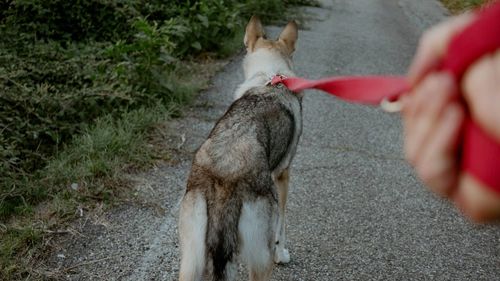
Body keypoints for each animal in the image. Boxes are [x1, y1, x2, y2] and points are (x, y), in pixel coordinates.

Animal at [181, 15, 300, 280]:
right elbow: (284, 225)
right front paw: (283, 255)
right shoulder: (283, 176)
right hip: (260, 260)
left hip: (190, 261)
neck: (270, 76)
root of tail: (224, 179)